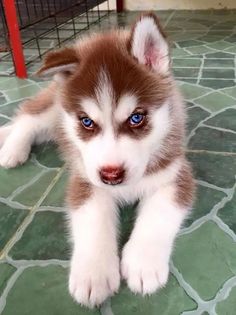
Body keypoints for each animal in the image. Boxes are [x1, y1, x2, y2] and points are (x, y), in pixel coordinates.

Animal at [0, 13, 195, 310]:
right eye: (87, 122)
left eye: (136, 118)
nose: (111, 175)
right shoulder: (85, 179)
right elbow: (93, 220)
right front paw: (93, 273)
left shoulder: (176, 174)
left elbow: (159, 213)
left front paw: (143, 263)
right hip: (54, 109)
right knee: (28, 117)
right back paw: (12, 148)